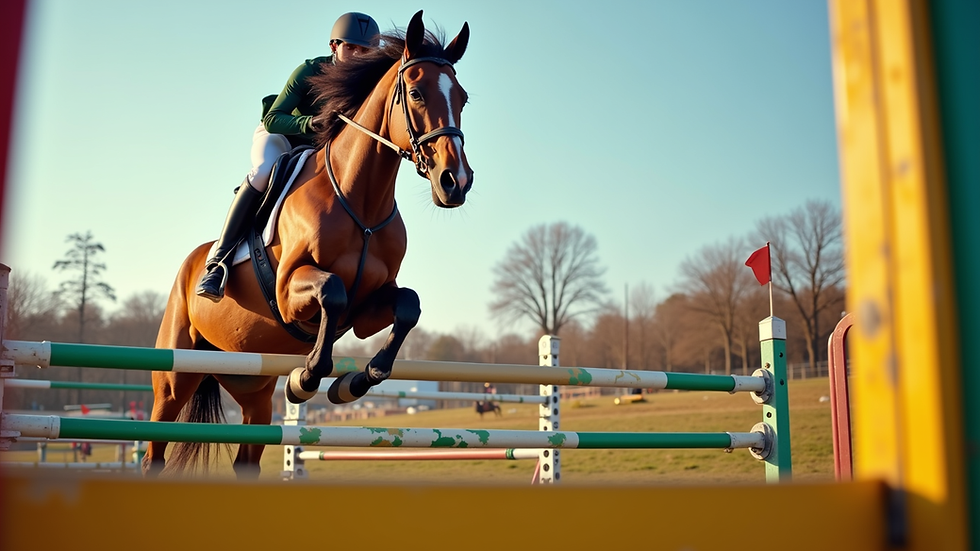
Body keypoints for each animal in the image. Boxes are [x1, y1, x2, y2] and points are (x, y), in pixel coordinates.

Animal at [143, 11, 472, 479]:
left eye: (462, 98)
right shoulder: (287, 292)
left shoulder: (367, 308)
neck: (360, 201)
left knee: (247, 458)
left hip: (254, 389)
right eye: (415, 93)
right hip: (173, 378)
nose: (456, 182)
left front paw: (354, 383)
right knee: (155, 448)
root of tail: (189, 264)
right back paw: (212, 275)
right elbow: (331, 292)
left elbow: (408, 305)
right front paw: (305, 380)